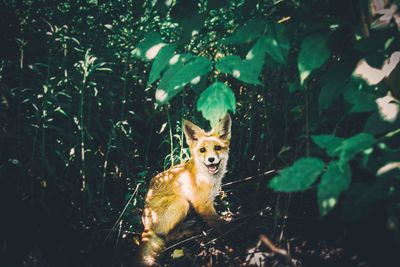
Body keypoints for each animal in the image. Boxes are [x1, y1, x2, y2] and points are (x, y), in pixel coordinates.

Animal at [137, 114, 233, 266]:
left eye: (217, 147)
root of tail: (146, 225)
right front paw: (228, 238)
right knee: (170, 237)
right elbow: (218, 224)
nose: (211, 159)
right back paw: (189, 231)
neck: (207, 178)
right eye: (202, 150)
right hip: (181, 202)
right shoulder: (202, 205)